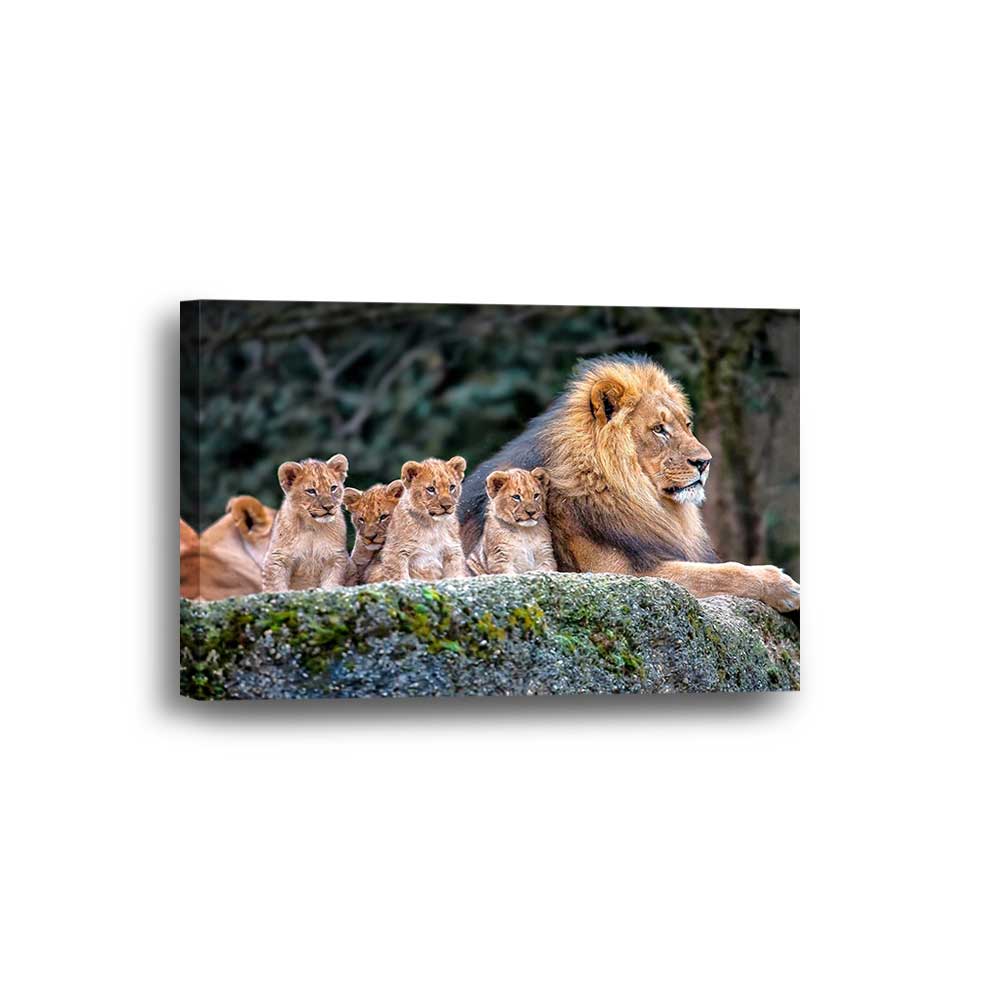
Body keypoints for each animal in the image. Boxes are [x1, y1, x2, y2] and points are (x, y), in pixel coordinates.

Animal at [262, 455, 352, 591]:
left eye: (333, 488)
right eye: (311, 491)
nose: (329, 507)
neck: (313, 526)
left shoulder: (335, 556)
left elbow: (332, 580)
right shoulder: (278, 557)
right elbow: (276, 584)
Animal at [459, 354, 800, 611]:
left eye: (687, 424)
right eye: (659, 429)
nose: (705, 462)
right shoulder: (618, 573)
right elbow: (722, 573)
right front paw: (783, 586)